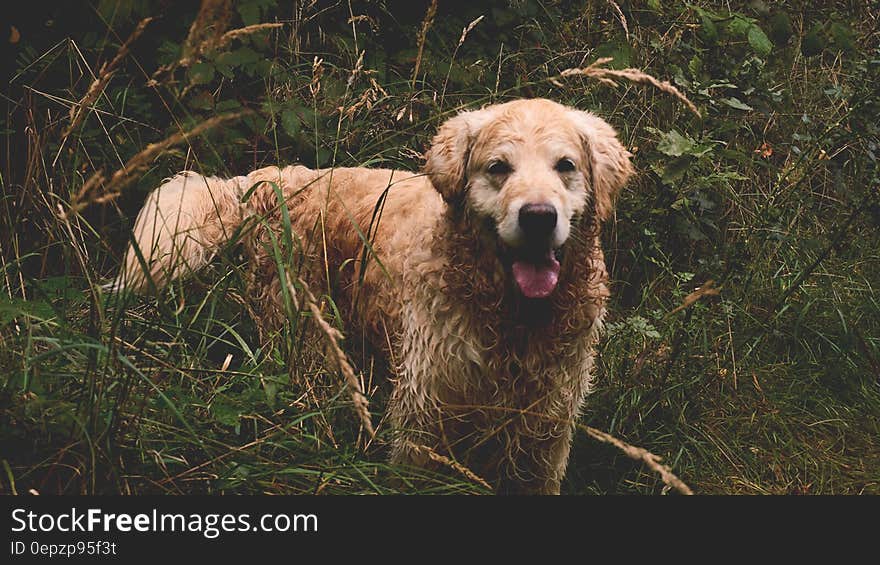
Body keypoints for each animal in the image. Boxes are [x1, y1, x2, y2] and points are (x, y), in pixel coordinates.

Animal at [113, 99, 628, 492]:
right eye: (498, 168)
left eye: (566, 166)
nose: (538, 216)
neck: (512, 318)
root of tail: (271, 179)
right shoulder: (426, 408)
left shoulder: (548, 422)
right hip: (307, 336)